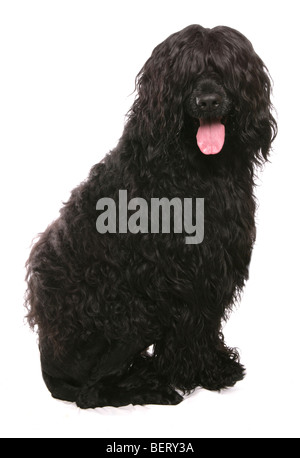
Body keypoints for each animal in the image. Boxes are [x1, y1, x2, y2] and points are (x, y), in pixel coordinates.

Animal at [25, 25, 276, 406]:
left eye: (224, 70)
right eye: (186, 75)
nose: (208, 101)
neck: (196, 168)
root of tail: (46, 365)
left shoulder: (214, 266)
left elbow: (207, 323)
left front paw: (215, 368)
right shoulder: (178, 275)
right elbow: (190, 326)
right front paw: (192, 374)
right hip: (132, 315)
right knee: (91, 391)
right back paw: (152, 386)